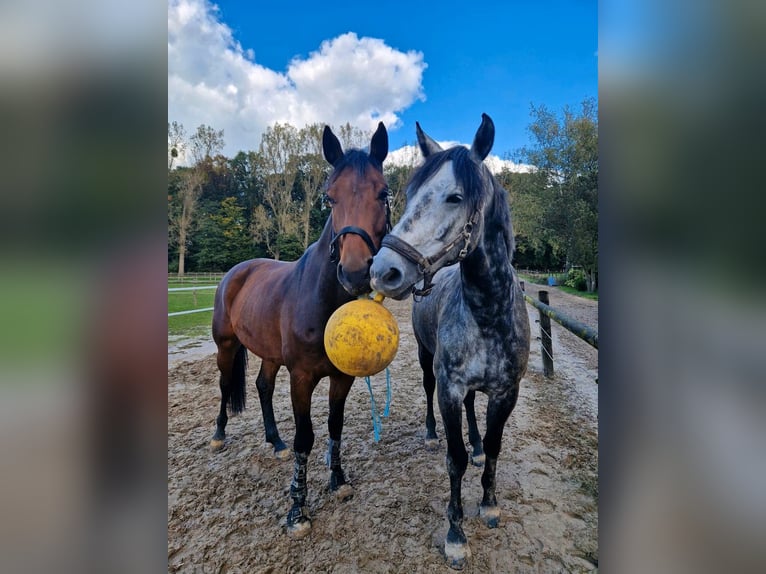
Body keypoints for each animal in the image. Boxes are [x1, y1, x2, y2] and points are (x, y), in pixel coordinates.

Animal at [211, 122, 390, 538]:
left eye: (384, 192)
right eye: (329, 197)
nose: (354, 272)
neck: (322, 300)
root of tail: (236, 272)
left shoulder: (342, 378)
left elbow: (335, 426)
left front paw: (338, 481)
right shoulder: (302, 378)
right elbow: (305, 438)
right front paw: (297, 510)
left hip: (270, 355)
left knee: (262, 386)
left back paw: (274, 440)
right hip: (226, 346)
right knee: (226, 385)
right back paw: (219, 435)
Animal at [369, 114, 530, 569]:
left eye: (455, 197)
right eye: (408, 196)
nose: (383, 271)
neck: (489, 313)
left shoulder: (506, 392)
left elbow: (493, 446)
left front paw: (489, 504)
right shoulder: (449, 389)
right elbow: (454, 460)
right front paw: (456, 535)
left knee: (477, 420)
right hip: (428, 363)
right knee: (427, 393)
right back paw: (429, 434)